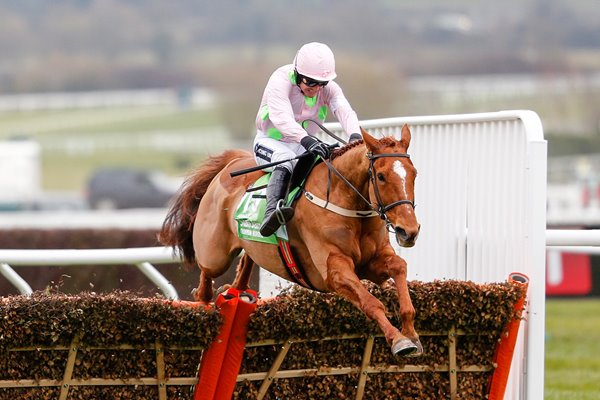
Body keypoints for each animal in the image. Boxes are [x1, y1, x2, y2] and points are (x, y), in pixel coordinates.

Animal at [159, 125, 422, 356]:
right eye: (381, 176)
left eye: (414, 173)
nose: (409, 230)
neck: (346, 202)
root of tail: (232, 163)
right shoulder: (334, 270)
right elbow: (371, 303)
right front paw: (399, 340)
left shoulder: (373, 262)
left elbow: (399, 267)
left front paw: (410, 331)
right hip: (216, 253)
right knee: (206, 274)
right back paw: (205, 301)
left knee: (244, 264)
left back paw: (235, 290)